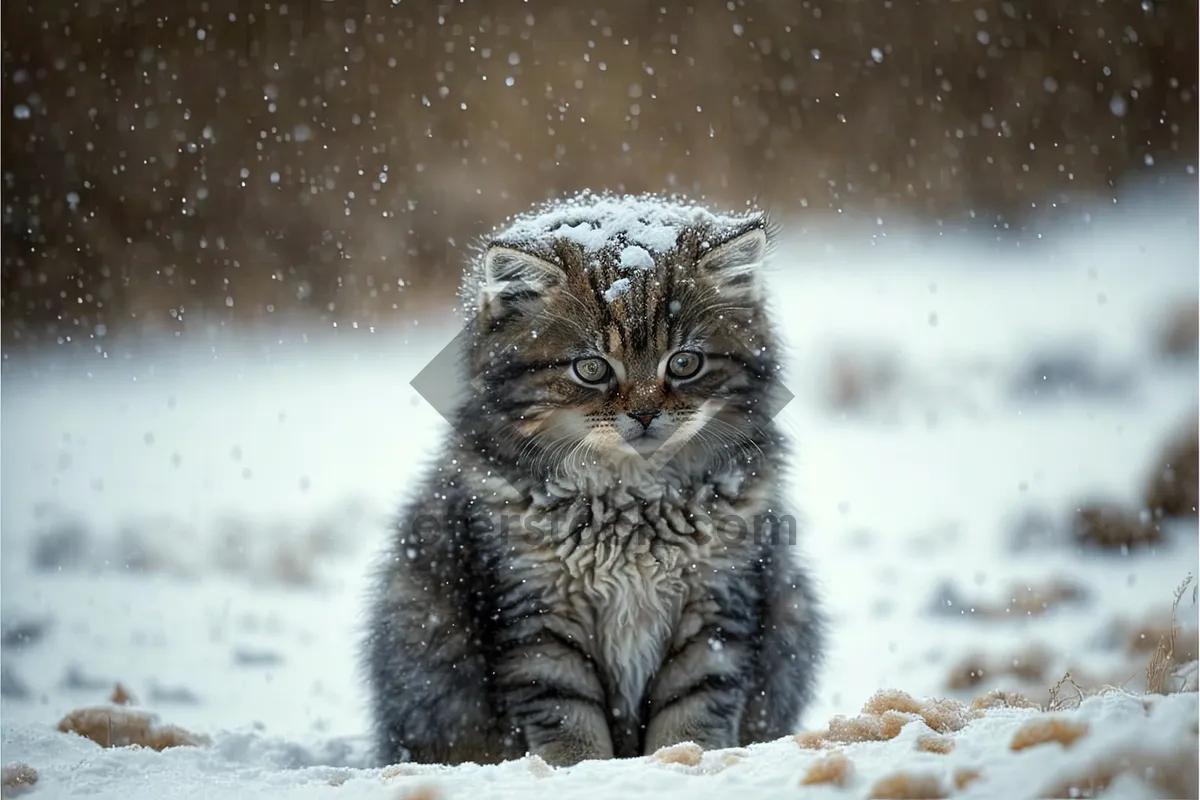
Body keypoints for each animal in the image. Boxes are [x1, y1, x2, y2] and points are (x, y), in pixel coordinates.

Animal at [362, 189, 825, 767]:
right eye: (591, 369)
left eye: (685, 363)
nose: (645, 414)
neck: (631, 501)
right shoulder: (537, 616)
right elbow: (567, 717)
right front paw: (580, 771)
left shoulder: (716, 607)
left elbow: (692, 708)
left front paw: (683, 761)